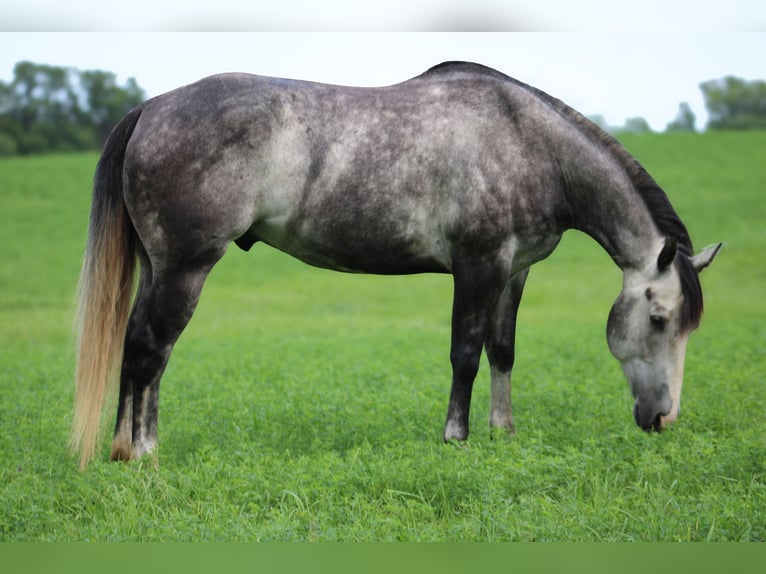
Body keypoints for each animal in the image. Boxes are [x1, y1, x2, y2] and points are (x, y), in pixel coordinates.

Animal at [72, 62, 721, 469]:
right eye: (659, 320)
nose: (663, 419)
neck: (527, 143)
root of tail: (151, 108)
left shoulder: (515, 272)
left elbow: (502, 352)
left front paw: (503, 433)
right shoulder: (479, 266)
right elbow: (465, 353)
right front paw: (457, 439)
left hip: (159, 269)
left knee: (139, 346)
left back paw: (132, 448)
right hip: (185, 269)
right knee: (150, 349)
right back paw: (138, 454)